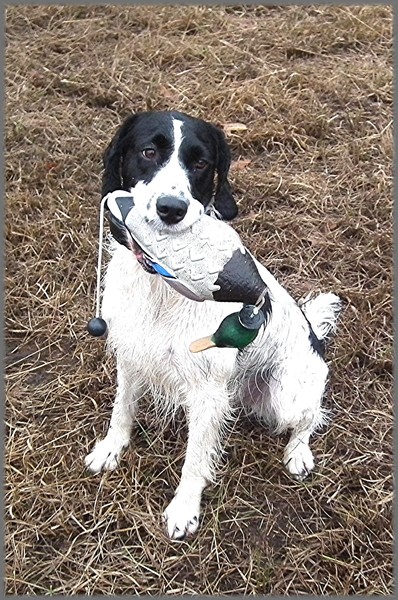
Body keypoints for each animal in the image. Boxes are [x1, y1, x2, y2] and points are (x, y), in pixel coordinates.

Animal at [84, 110, 342, 540]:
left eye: (201, 163)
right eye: (148, 152)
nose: (171, 208)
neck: (161, 283)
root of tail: (314, 336)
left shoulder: (207, 393)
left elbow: (195, 458)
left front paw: (184, 509)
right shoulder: (130, 355)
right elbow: (123, 408)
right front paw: (111, 448)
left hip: (288, 394)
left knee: (311, 417)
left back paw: (298, 452)